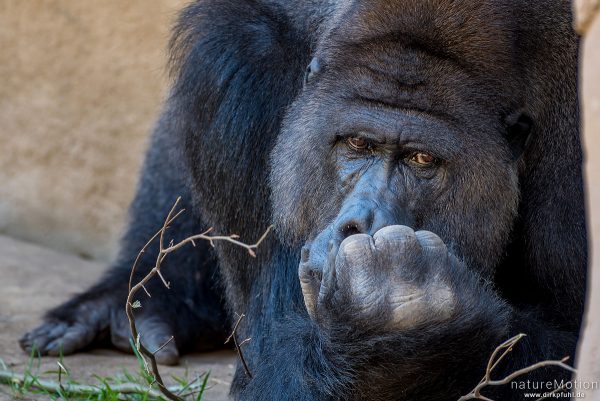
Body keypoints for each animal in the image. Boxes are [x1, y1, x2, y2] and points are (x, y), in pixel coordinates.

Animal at [19, 0, 584, 400]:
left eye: (422, 159)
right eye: (357, 144)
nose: (362, 223)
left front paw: (404, 313)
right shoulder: (239, 68)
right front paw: (395, 318)